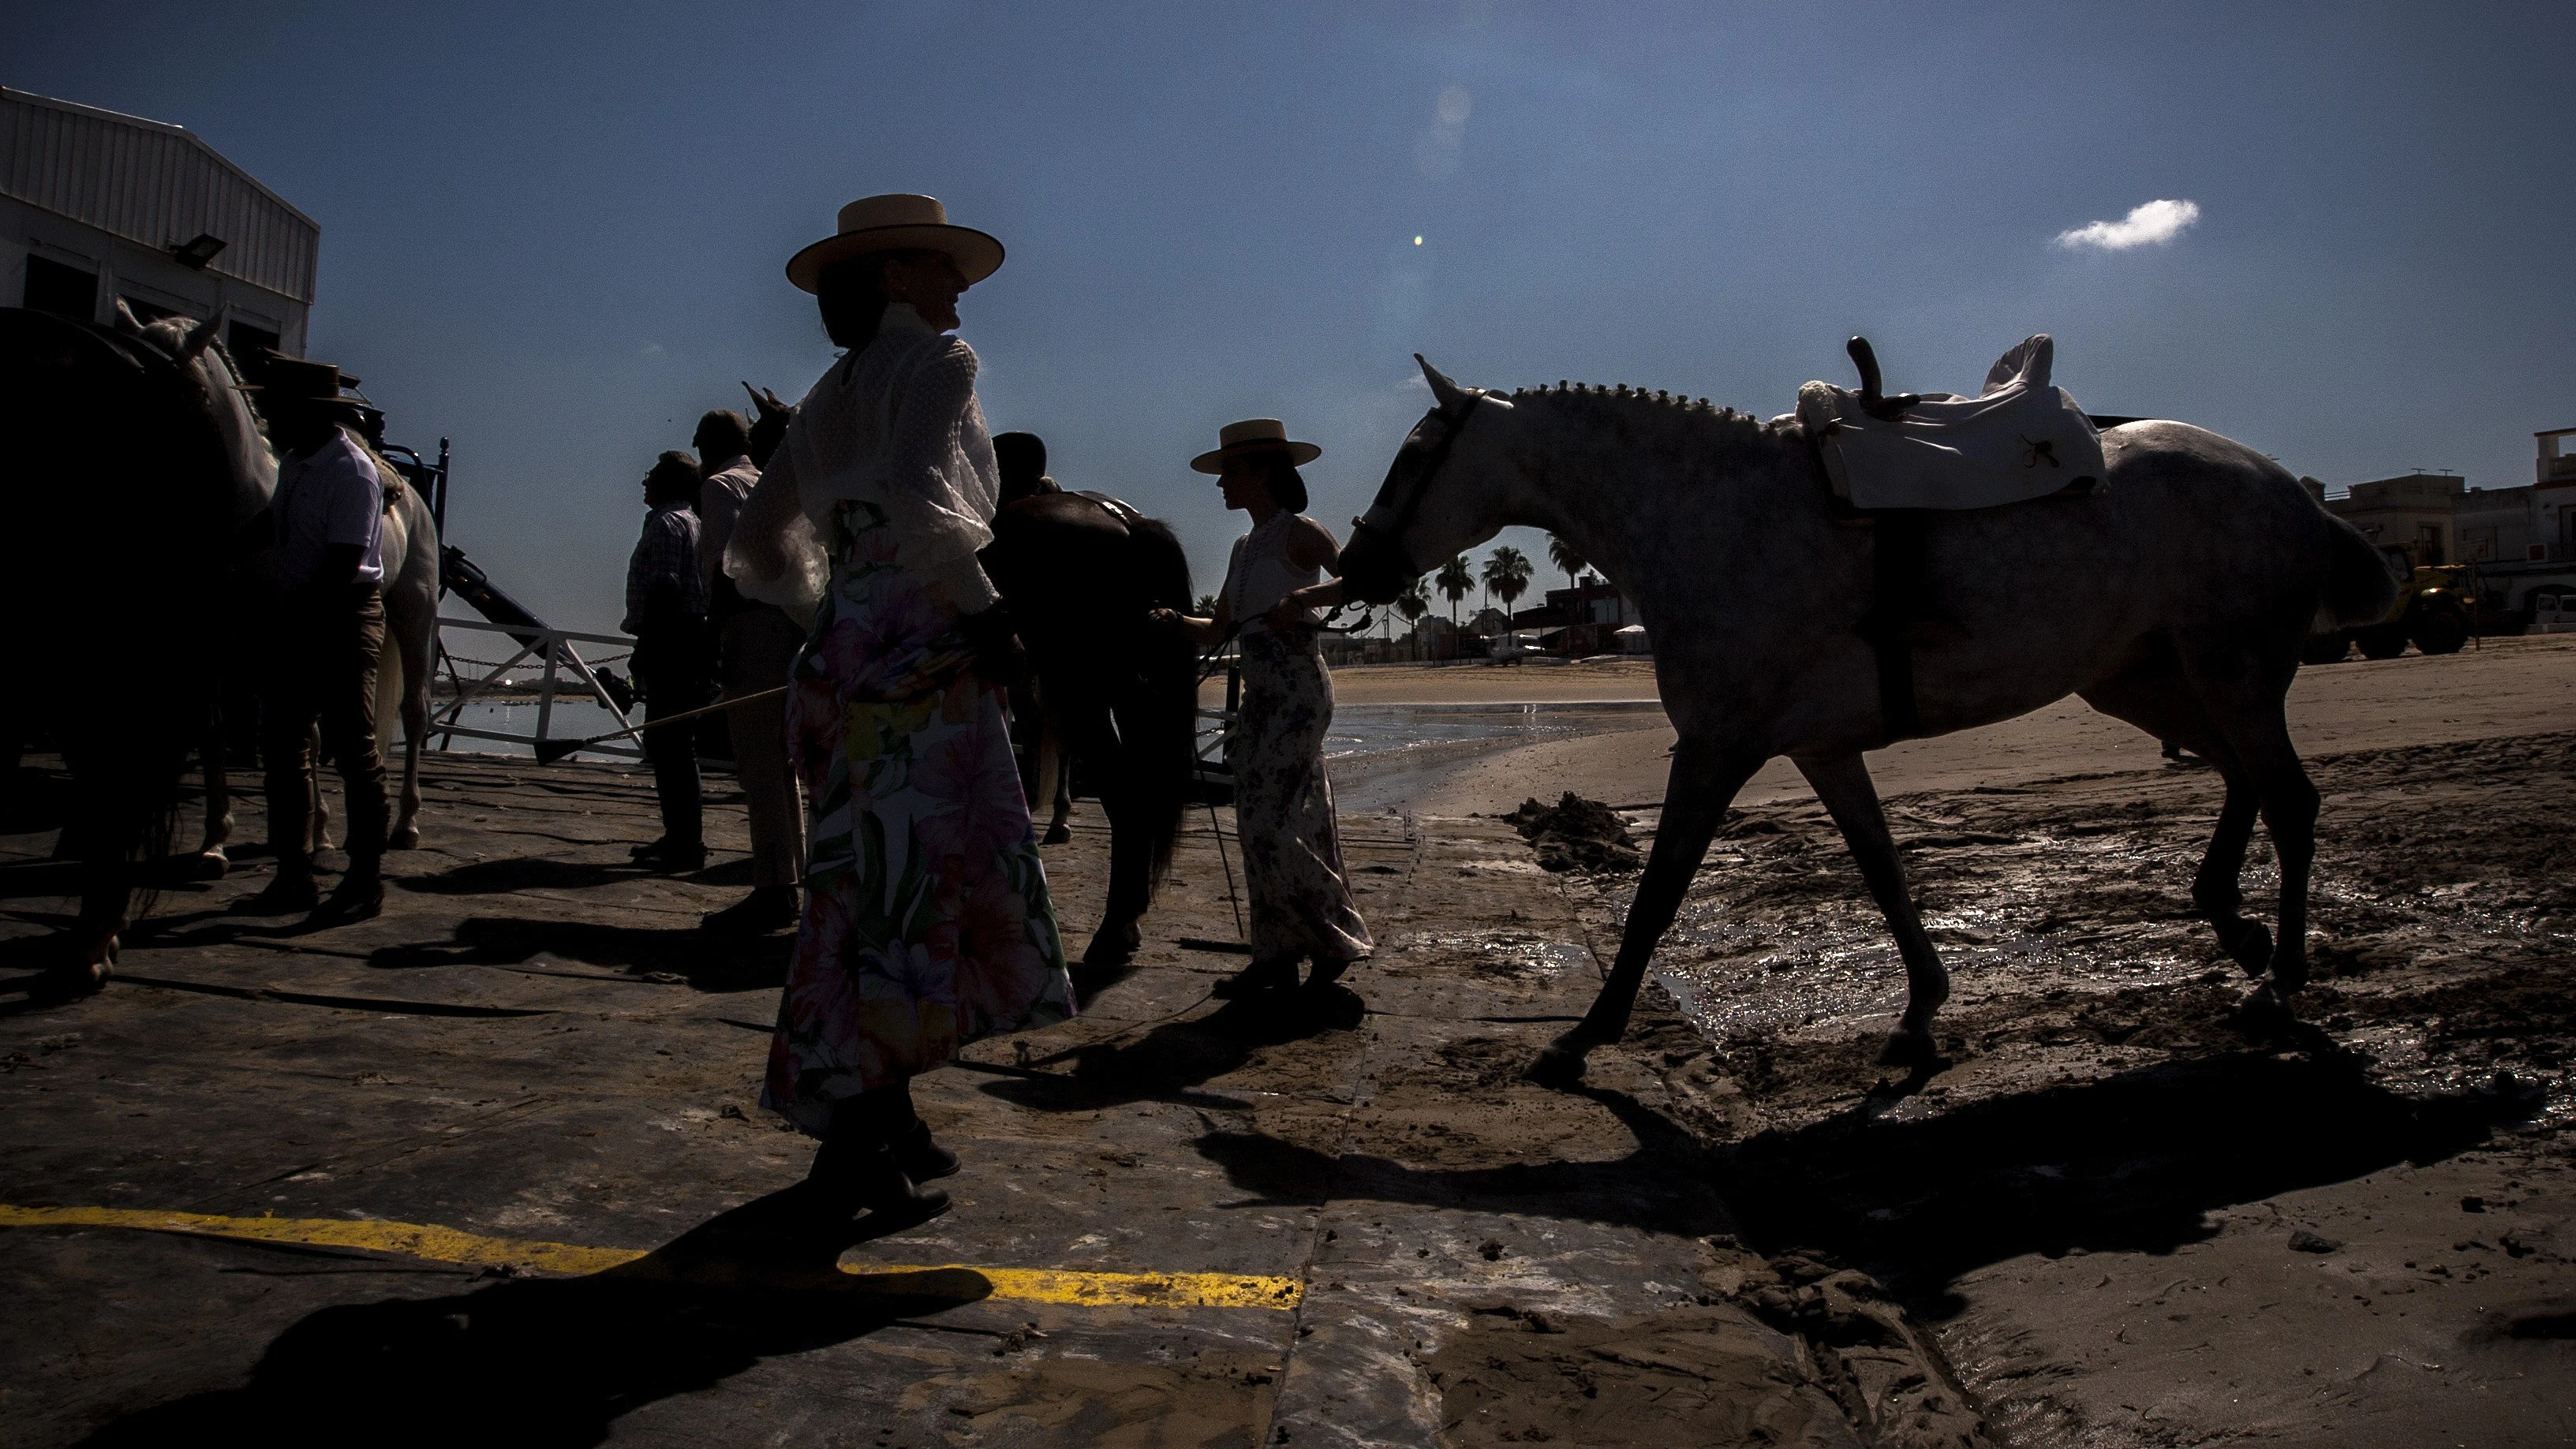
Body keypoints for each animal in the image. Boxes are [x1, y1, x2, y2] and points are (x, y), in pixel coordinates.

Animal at [122, 298, 443, 854]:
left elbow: (301, 729)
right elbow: (217, 728)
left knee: (415, 711)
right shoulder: (213, 639)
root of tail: (414, 500)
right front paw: (217, 838)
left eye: (179, 383)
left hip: (414, 612)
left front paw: (312, 829)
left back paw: (406, 823)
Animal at [1339, 353, 2400, 1081]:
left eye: (1414, 456)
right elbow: (1882, 871)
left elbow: (1656, 897)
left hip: (2227, 670)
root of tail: (2284, 485)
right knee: (2242, 776)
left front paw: (1587, 1034)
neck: (1710, 512)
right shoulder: (1821, 749)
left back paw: (2280, 975)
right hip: (2145, 679)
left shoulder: (1716, 747)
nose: (1355, 566)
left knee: (2289, 799)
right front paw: (1921, 1008)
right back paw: (2232, 923)